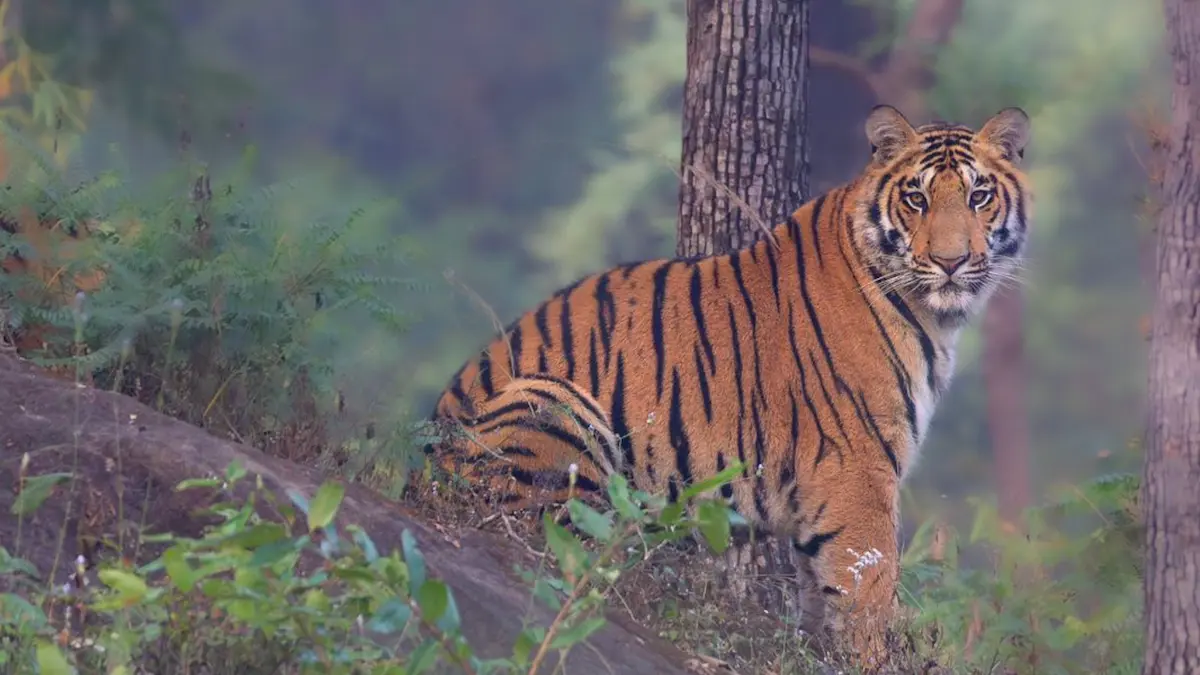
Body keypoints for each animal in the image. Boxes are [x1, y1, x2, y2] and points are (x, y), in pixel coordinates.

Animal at [423, 104, 1032, 664]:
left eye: (979, 197)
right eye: (917, 200)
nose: (951, 262)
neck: (933, 315)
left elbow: (822, 594)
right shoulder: (857, 469)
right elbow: (869, 587)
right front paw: (875, 657)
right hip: (553, 404)